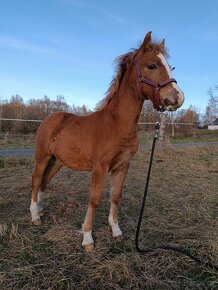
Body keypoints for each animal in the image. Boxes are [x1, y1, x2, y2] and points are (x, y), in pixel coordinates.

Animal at [30, 31, 184, 249]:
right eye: (152, 65)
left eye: (170, 66)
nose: (178, 98)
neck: (117, 124)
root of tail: (49, 119)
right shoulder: (100, 167)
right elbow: (95, 198)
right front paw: (87, 238)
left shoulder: (122, 166)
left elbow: (116, 196)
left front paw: (116, 230)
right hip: (42, 157)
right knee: (36, 180)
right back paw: (35, 216)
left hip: (58, 161)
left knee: (45, 181)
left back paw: (41, 209)